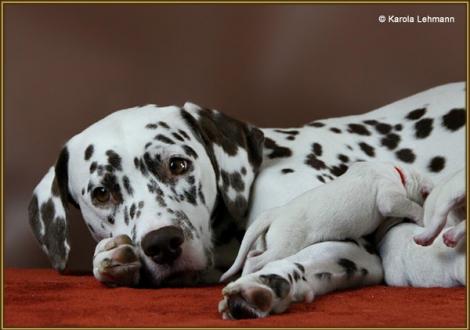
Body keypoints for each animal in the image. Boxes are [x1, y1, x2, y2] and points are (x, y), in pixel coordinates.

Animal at [220, 160, 434, 282]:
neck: (399, 173)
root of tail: (276, 213)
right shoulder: (389, 198)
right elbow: (407, 205)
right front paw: (421, 216)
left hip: (271, 244)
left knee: (252, 254)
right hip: (284, 247)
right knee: (254, 260)